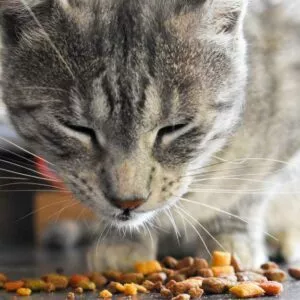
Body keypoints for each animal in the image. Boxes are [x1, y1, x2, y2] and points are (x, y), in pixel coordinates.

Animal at [0, 0, 300, 272]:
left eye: (175, 127)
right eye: (77, 128)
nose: (127, 202)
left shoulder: (281, 142)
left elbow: (246, 197)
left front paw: (230, 241)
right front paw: (122, 242)